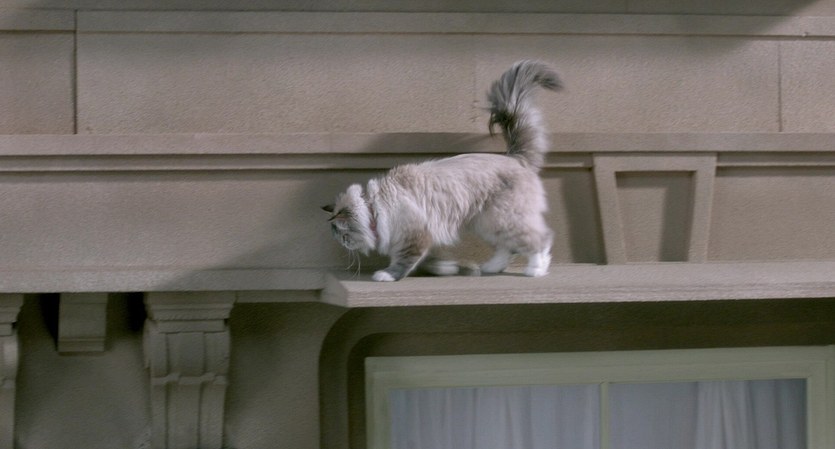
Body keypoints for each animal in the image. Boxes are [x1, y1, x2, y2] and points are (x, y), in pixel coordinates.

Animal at [323, 60, 562, 281]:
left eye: (343, 235)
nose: (343, 244)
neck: (374, 207)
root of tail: (515, 157)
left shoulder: (415, 236)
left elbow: (405, 261)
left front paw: (387, 275)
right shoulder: (424, 237)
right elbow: (431, 261)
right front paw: (447, 268)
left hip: (505, 219)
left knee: (541, 239)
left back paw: (536, 269)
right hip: (488, 223)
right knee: (506, 247)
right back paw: (491, 267)